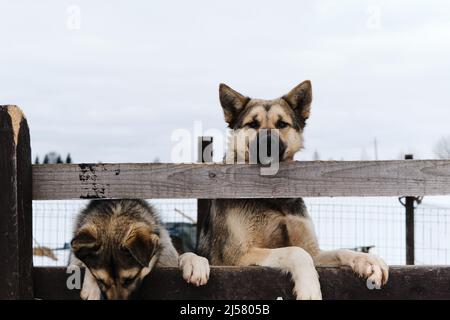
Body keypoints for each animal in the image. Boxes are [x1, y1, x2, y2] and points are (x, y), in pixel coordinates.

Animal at [199, 80, 388, 300]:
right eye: (253, 124)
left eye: (282, 124)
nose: (268, 143)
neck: (273, 196)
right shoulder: (236, 256)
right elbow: (296, 251)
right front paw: (309, 288)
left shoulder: (315, 252)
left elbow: (340, 251)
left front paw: (367, 260)